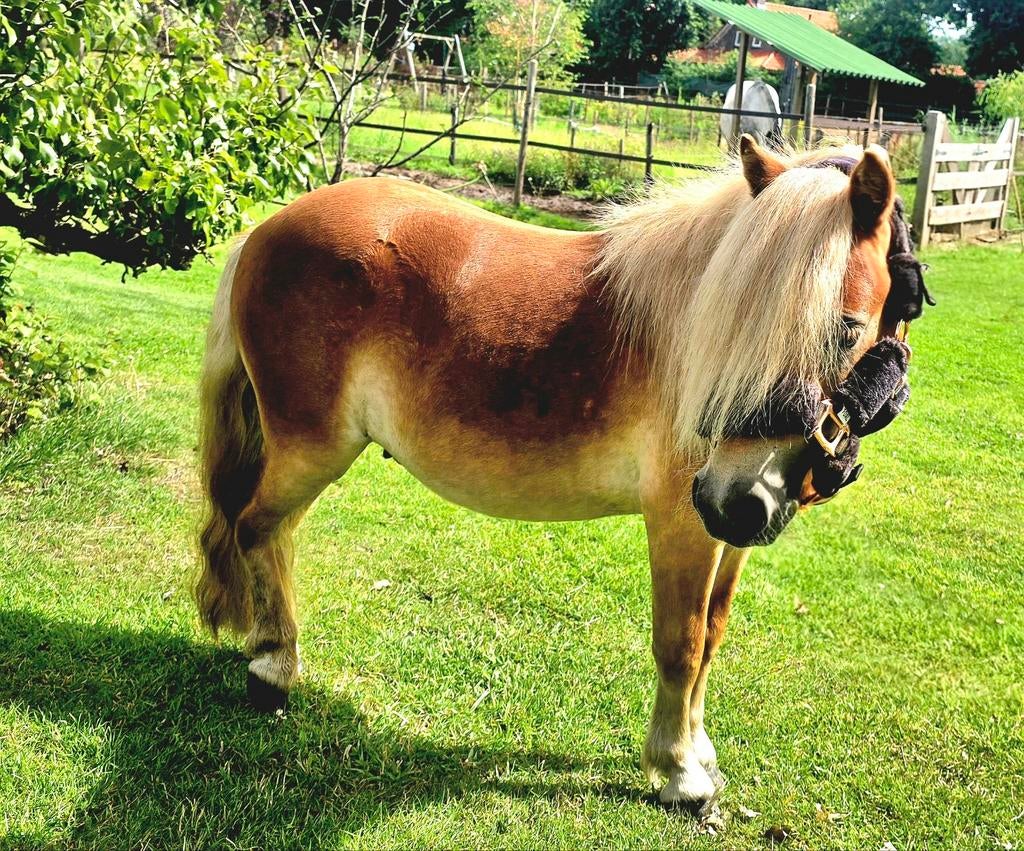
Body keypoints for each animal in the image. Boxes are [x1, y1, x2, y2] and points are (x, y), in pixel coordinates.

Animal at [196, 137, 916, 808]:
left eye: (846, 329)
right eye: (727, 326)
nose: (728, 501)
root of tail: (267, 228)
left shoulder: (729, 536)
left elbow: (711, 637)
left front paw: (700, 750)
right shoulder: (683, 523)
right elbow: (680, 644)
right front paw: (679, 771)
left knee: (271, 534)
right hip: (311, 450)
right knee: (256, 527)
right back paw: (274, 666)